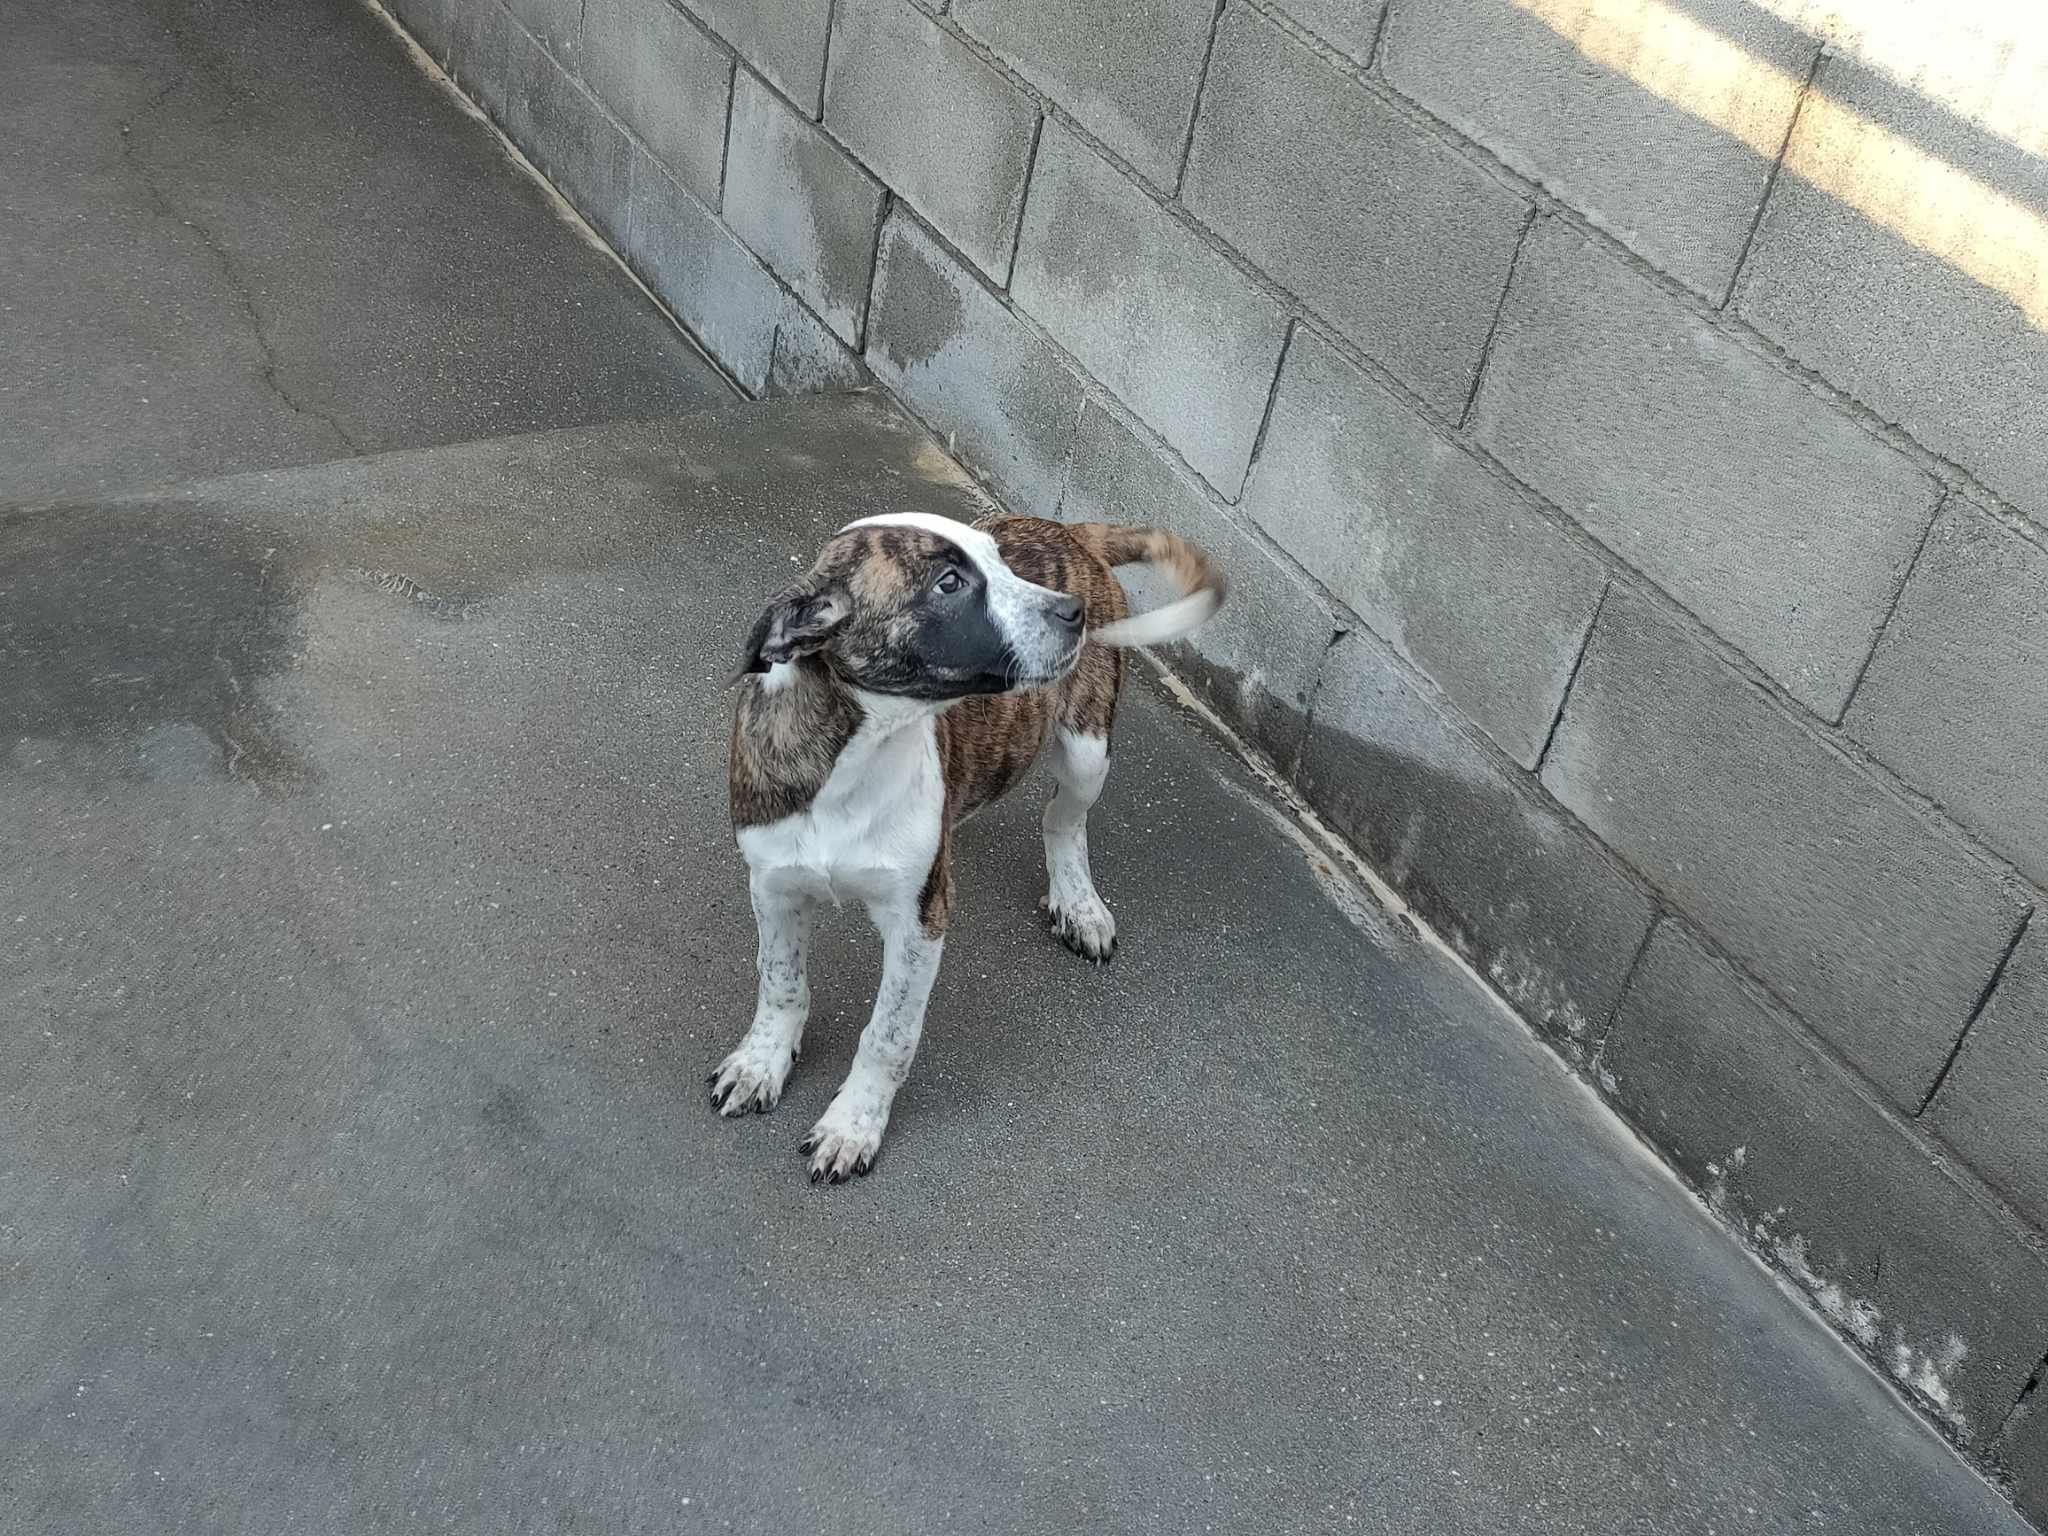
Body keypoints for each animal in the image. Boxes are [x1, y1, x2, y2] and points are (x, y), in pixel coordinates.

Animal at [715, 508, 1225, 1182]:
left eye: (1000, 563)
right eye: (949, 584)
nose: (1074, 613)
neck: (859, 746)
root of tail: (1068, 530)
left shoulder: (920, 921)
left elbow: (888, 1034)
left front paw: (853, 1124)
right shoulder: (772, 885)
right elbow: (780, 982)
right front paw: (761, 1062)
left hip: (1087, 748)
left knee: (1063, 821)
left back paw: (1078, 902)